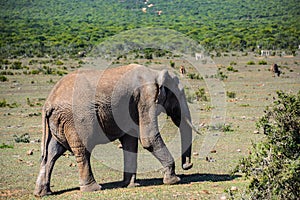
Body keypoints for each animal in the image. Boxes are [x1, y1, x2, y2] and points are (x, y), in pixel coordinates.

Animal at [34, 63, 196, 197]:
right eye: (180, 95)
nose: (188, 165)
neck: (155, 72)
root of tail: (48, 103)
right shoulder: (145, 98)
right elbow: (148, 139)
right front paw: (174, 180)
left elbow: (130, 142)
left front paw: (131, 185)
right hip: (75, 119)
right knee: (82, 150)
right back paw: (93, 189)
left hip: (57, 122)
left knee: (51, 154)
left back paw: (43, 193)